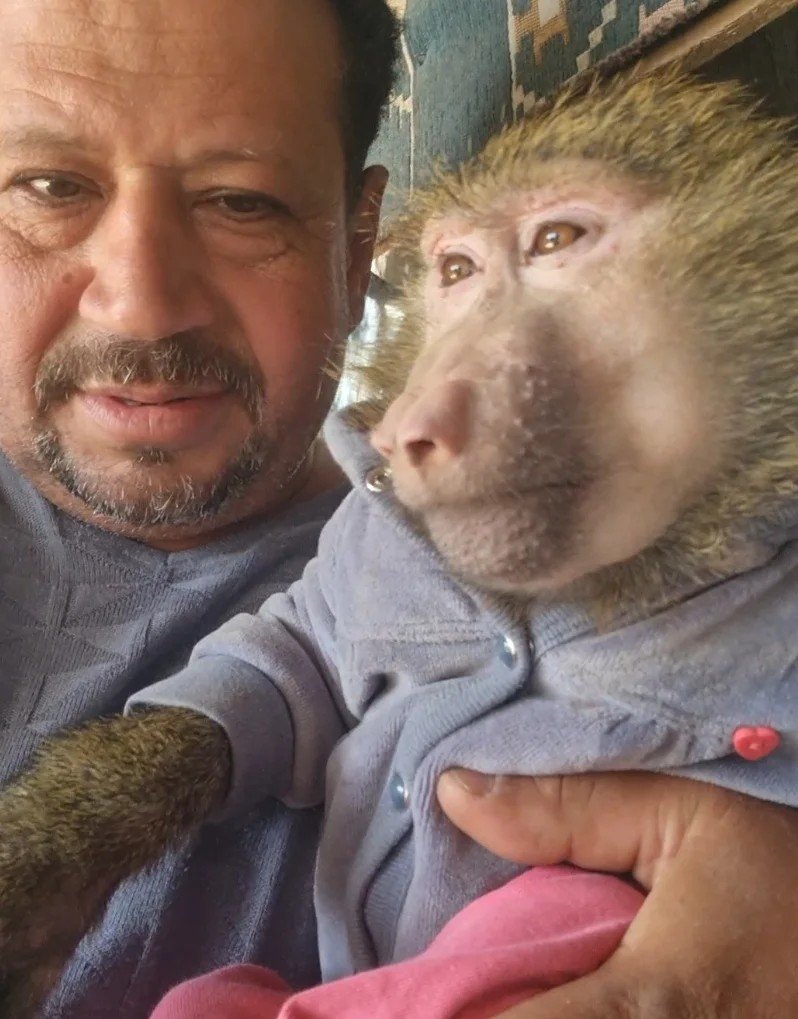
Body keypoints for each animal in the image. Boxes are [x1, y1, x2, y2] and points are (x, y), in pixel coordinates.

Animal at [2, 71, 798, 1018]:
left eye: (557, 240)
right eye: (455, 271)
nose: (409, 427)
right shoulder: (360, 563)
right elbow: (290, 656)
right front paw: (52, 852)